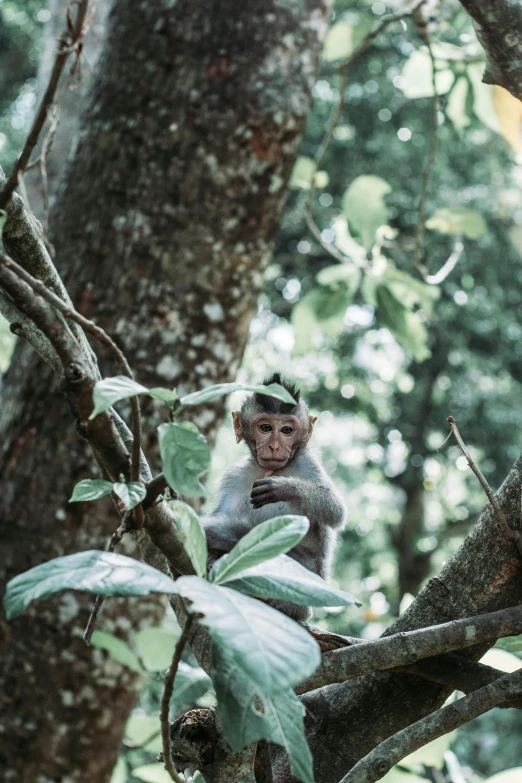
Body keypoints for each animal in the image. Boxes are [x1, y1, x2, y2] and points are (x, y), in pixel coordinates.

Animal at [200, 376, 346, 624]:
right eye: (266, 427)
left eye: (287, 430)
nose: (275, 446)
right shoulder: (234, 475)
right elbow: (221, 513)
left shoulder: (306, 461)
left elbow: (335, 509)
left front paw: (283, 488)